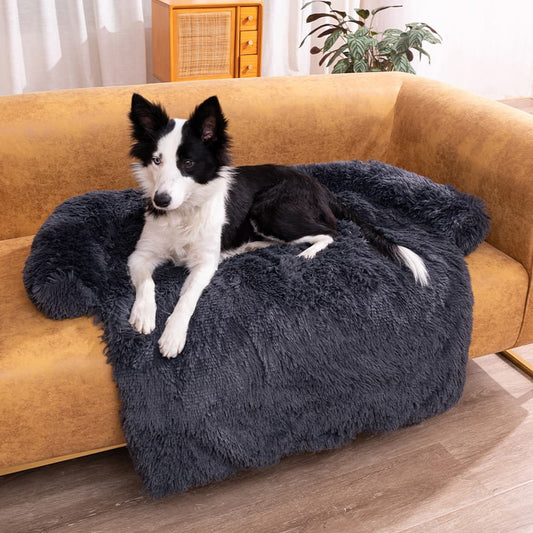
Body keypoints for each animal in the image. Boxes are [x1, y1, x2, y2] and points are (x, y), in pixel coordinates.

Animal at [125, 94, 428, 358]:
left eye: (188, 163)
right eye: (156, 160)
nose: (160, 200)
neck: (182, 213)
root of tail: (318, 186)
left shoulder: (204, 263)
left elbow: (187, 297)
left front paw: (173, 335)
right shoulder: (140, 254)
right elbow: (147, 282)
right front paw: (143, 314)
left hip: (270, 210)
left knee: (331, 232)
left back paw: (308, 252)